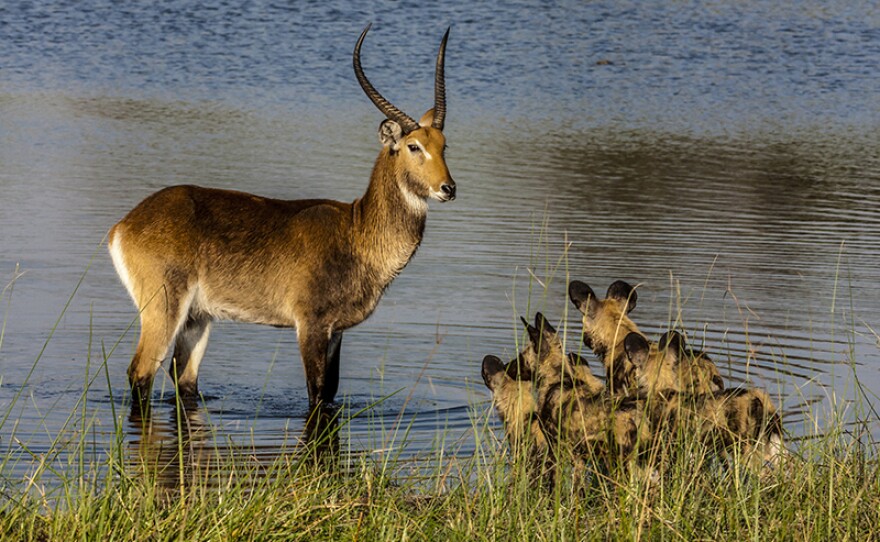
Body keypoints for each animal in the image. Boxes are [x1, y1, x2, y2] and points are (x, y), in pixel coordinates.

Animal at [106, 23, 458, 410]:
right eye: (414, 146)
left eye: (444, 145)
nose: (448, 188)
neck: (357, 231)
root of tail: (125, 224)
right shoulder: (311, 325)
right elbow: (316, 395)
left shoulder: (337, 332)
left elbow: (330, 391)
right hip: (164, 310)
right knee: (140, 374)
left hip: (197, 319)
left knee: (183, 380)